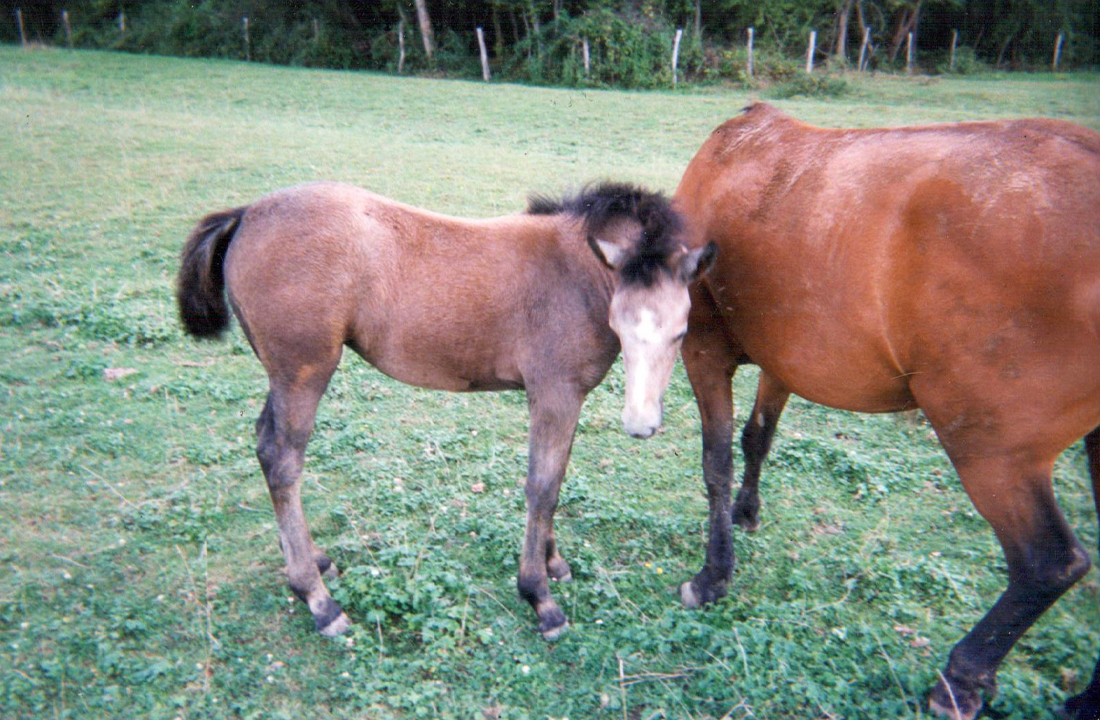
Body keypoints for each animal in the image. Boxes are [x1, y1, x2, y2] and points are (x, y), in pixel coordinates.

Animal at [176, 180, 717, 641]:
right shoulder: (554, 392)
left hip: (283, 375)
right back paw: (318, 599)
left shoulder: (568, 398)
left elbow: (556, 478)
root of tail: (247, 213)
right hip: (304, 371)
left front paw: (554, 564)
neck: (575, 272)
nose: (641, 425)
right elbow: (541, 487)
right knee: (283, 459)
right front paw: (539, 597)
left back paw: (311, 560)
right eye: (620, 327)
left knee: (265, 446)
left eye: (680, 333)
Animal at [668, 102, 1100, 720]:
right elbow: (757, 439)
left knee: (1048, 564)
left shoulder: (703, 351)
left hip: (993, 452)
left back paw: (961, 677)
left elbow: (716, 463)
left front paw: (713, 576)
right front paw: (747, 512)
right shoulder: (784, 361)